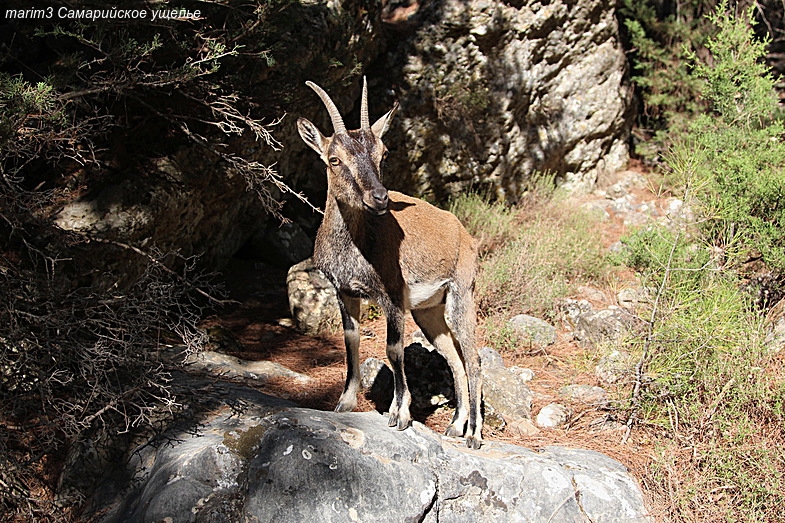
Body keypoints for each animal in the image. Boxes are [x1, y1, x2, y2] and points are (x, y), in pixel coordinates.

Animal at [298, 78, 484, 450]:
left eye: (382, 153)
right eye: (334, 159)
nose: (379, 198)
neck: (359, 243)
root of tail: (465, 235)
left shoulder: (393, 297)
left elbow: (394, 349)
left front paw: (401, 414)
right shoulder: (345, 292)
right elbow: (351, 340)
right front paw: (344, 403)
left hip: (462, 295)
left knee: (473, 359)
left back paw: (473, 434)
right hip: (428, 312)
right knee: (455, 358)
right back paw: (455, 427)